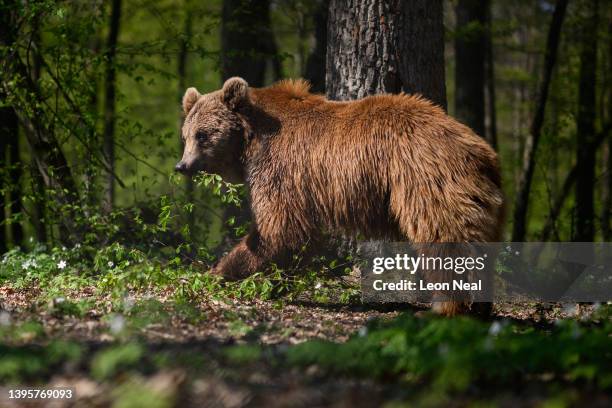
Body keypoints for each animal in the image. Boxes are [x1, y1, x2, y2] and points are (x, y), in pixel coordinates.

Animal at [176, 78, 502, 318]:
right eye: (186, 135)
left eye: (203, 134)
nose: (182, 165)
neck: (251, 140)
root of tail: (481, 151)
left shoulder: (281, 168)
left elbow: (279, 228)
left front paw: (222, 272)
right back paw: (480, 306)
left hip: (424, 179)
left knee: (443, 238)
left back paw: (443, 307)